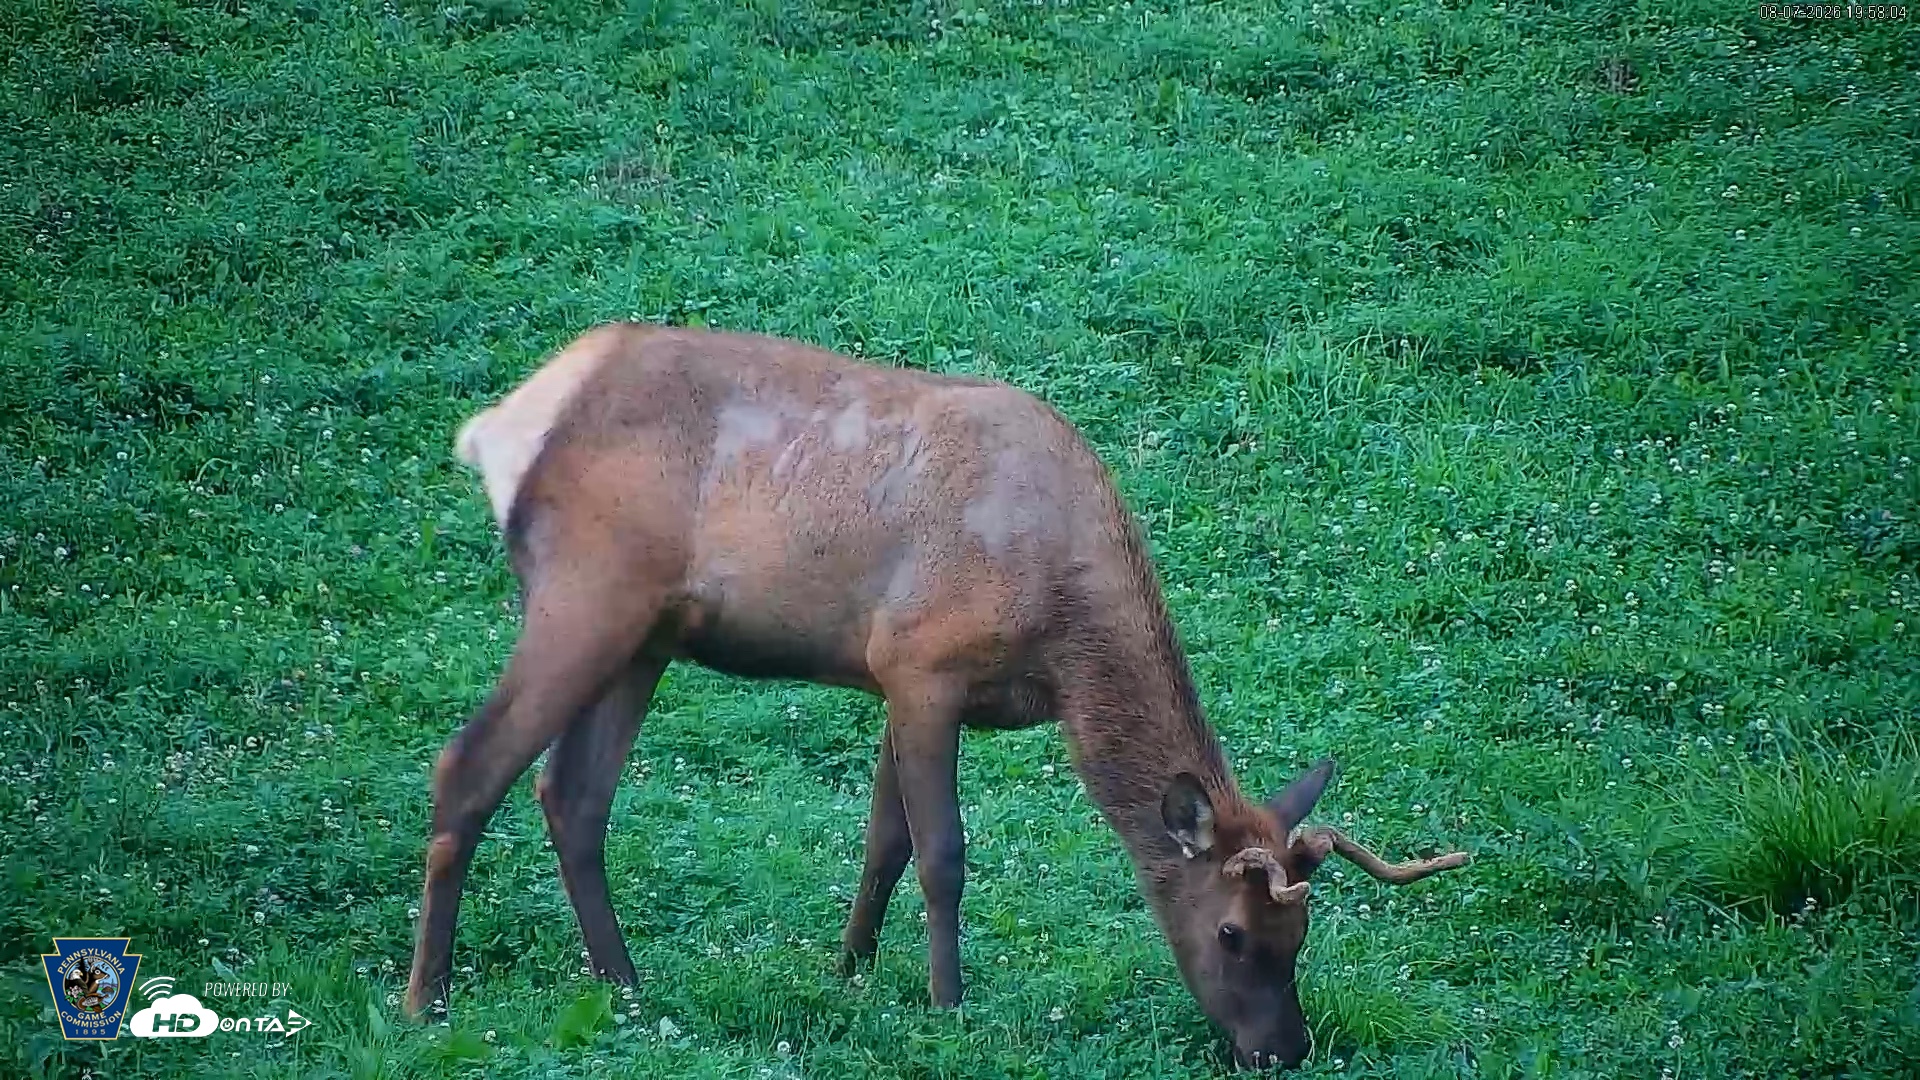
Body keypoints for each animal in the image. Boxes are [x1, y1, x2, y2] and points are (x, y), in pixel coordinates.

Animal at [406, 322, 1471, 1069]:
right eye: (1231, 931)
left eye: (1303, 934)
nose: (1282, 1050)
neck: (1063, 645)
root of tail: (500, 427)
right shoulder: (924, 665)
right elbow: (943, 852)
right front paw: (947, 1003)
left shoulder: (891, 674)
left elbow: (884, 839)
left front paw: (850, 972)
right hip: (588, 593)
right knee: (468, 763)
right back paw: (427, 999)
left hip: (647, 635)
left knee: (571, 795)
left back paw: (625, 988)